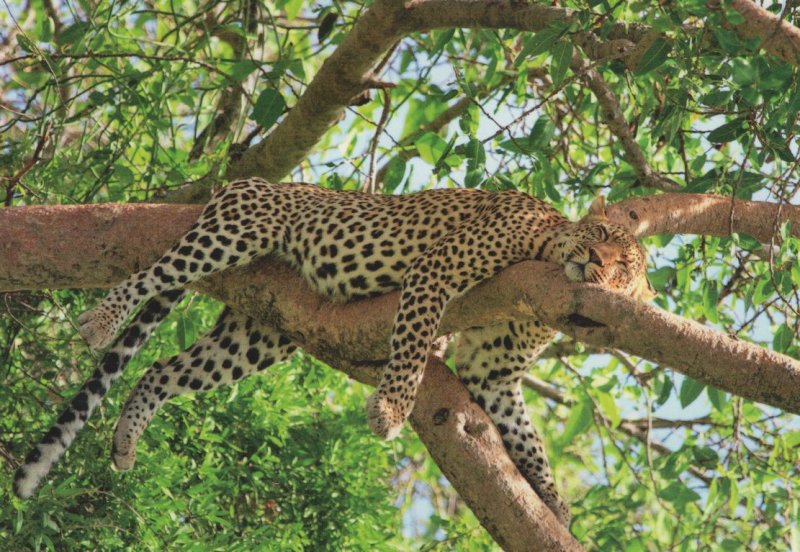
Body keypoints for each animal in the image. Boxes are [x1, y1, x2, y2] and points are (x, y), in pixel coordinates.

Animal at [12, 178, 652, 528]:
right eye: (600, 237)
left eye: (623, 269)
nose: (595, 264)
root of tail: (242, 184)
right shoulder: (437, 269)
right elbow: (413, 346)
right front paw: (390, 411)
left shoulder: (491, 374)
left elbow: (527, 438)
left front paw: (554, 503)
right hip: (237, 231)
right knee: (151, 274)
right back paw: (99, 320)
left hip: (258, 333)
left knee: (162, 368)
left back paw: (126, 439)